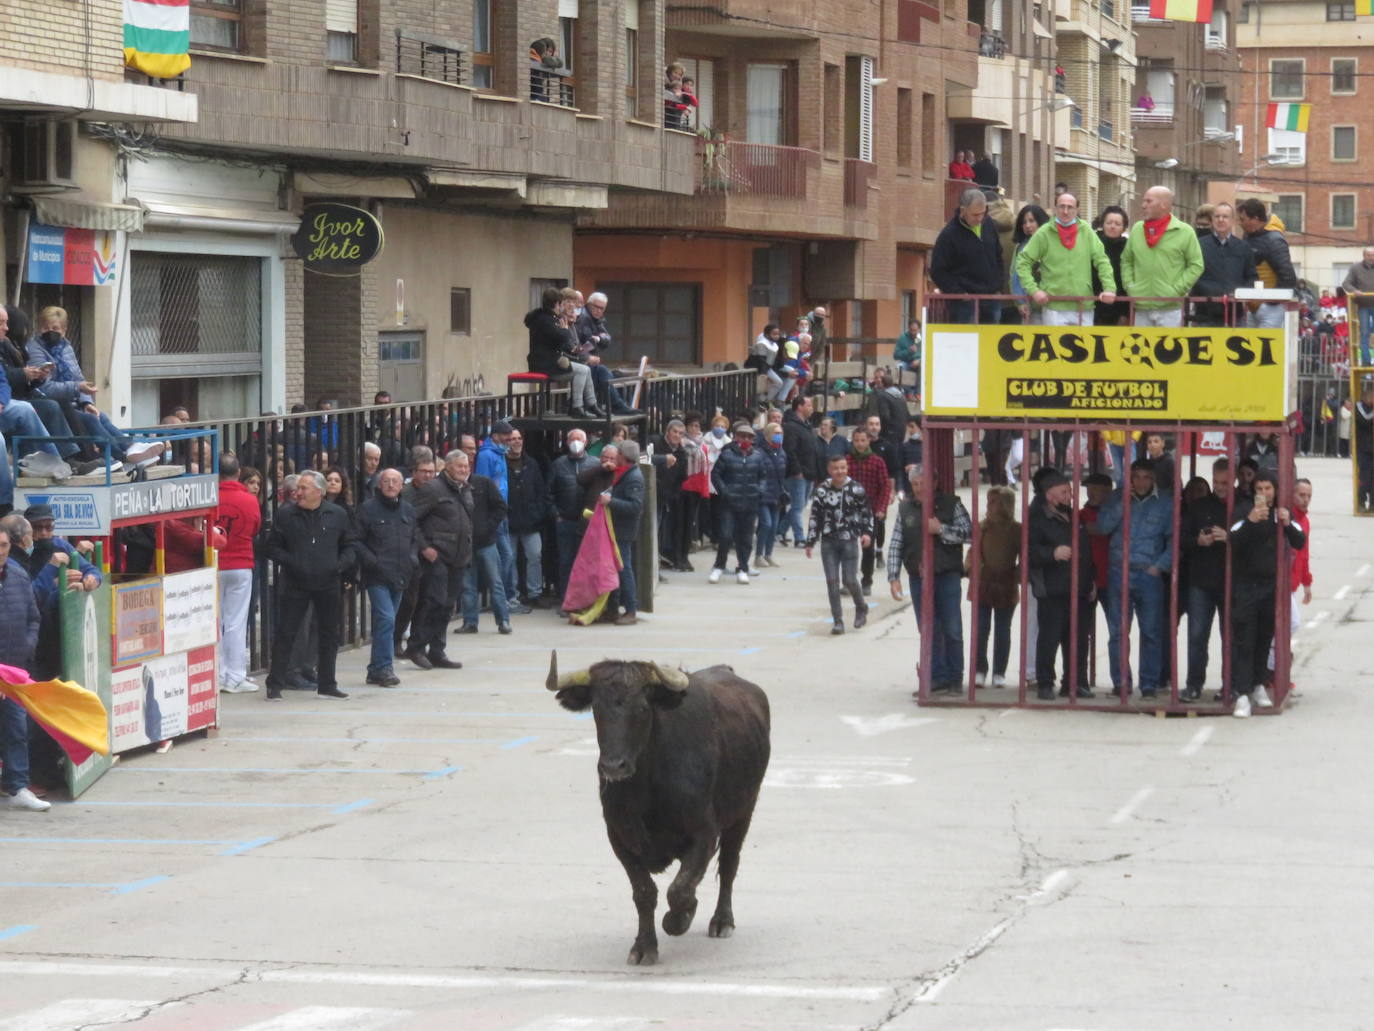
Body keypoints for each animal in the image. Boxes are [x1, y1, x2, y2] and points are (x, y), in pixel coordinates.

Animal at [546, 654, 774, 967]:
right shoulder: (620, 838)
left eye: (643, 708)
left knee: (729, 864)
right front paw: (644, 946)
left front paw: (679, 919)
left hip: (744, 811)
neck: (647, 791)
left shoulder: (705, 835)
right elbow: (644, 893)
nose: (613, 766)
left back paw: (722, 921)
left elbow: (680, 889)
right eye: (596, 708)